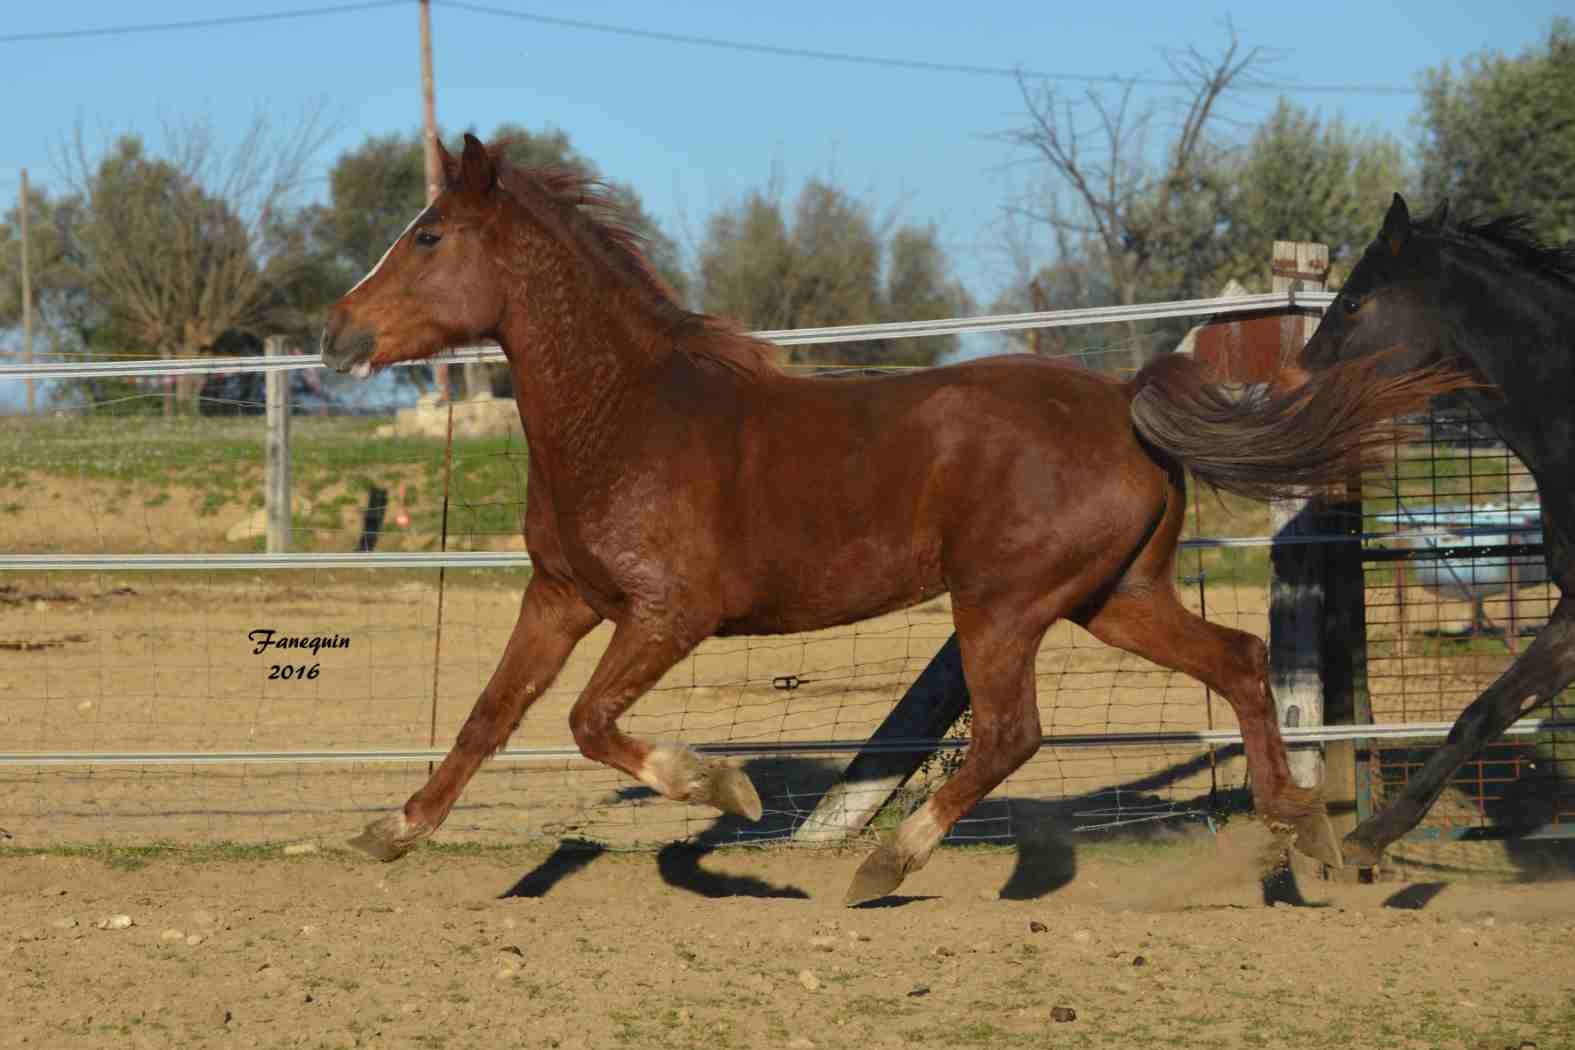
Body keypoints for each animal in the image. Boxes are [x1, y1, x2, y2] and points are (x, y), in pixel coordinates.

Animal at [316, 133, 1461, 906]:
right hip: (1112, 597)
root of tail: (1122, 401)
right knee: (1237, 660)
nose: (336, 333)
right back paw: (1301, 836)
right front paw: (389, 830)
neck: (625, 415)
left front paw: (726, 792)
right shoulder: (561, 595)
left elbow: (588, 722)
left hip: (1003, 602)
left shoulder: (669, 614)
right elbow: (489, 716)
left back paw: (883, 861)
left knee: (1010, 732)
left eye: (428, 235)